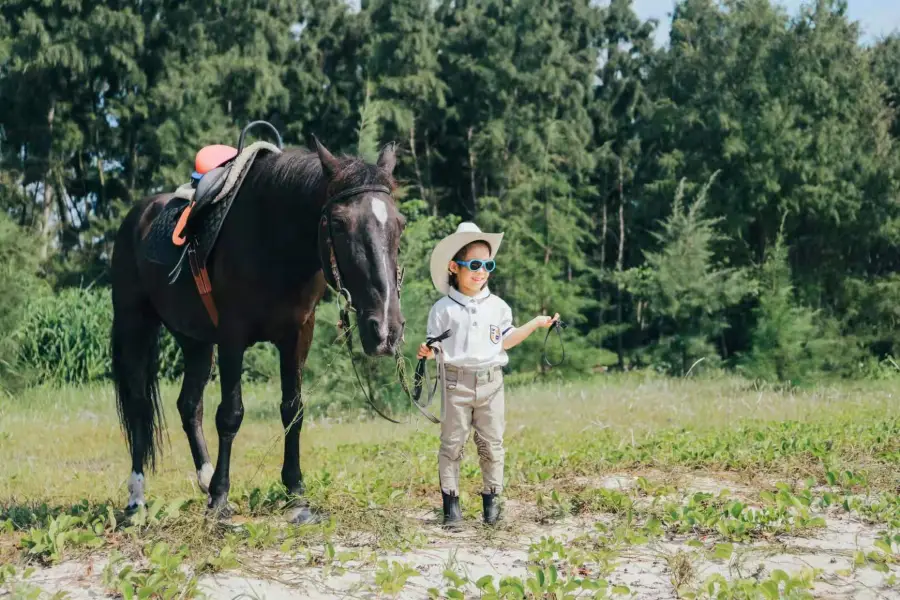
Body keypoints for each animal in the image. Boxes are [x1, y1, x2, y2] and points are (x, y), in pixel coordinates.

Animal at [110, 139, 406, 520]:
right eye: (339, 223)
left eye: (400, 223)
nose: (385, 330)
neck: (273, 242)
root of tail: (138, 215)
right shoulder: (232, 336)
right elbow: (230, 414)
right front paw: (220, 498)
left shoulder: (297, 336)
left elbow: (293, 410)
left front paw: (296, 492)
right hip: (135, 325)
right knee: (138, 407)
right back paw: (137, 499)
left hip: (194, 341)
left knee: (189, 405)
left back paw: (204, 477)